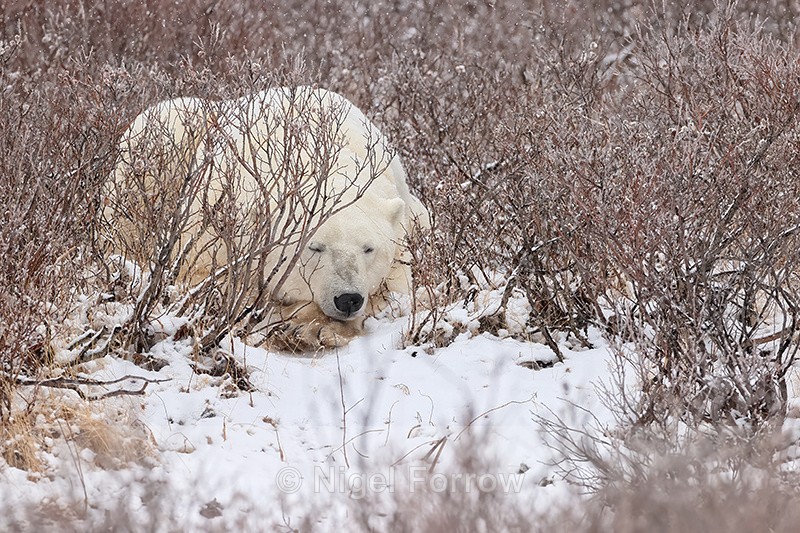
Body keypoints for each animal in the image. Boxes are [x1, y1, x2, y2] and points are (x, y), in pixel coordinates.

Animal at [105, 87, 429, 350]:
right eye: (314, 247)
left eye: (368, 248)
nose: (348, 298)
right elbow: (208, 283)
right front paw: (300, 325)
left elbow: (398, 293)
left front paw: (318, 328)